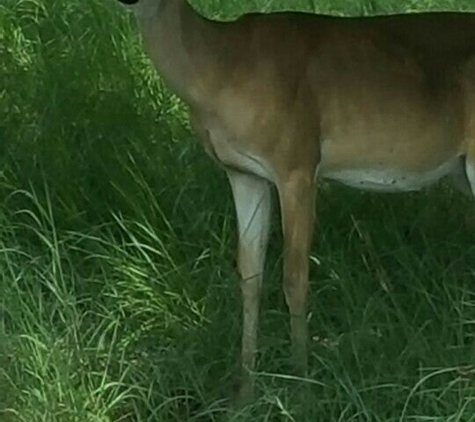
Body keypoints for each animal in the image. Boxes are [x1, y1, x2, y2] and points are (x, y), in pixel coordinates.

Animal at [115, 0, 475, 404]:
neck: (222, 71)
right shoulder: (244, 175)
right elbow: (250, 275)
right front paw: (245, 390)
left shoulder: (297, 164)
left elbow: (294, 277)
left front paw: (301, 382)